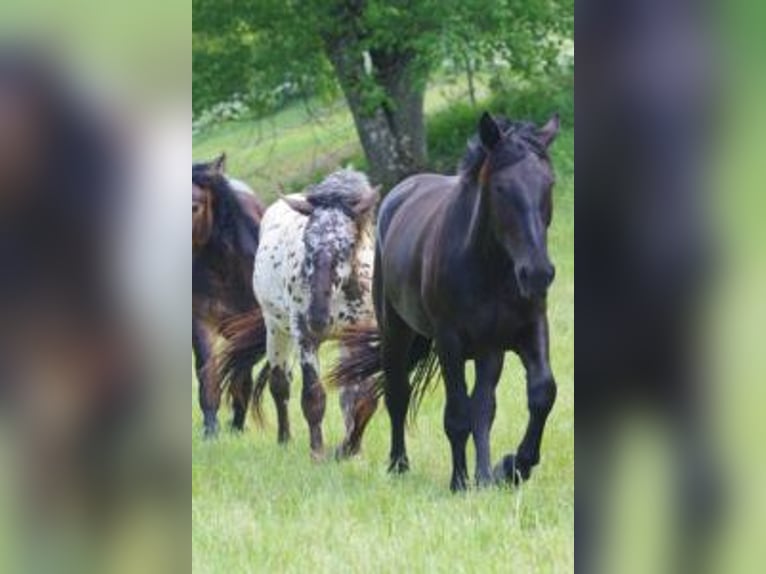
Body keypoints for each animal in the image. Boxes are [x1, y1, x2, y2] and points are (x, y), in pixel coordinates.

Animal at [218, 169, 380, 462]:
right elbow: (313, 398)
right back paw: (284, 439)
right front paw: (318, 453)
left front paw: (350, 450)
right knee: (280, 384)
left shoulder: (362, 337)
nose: (317, 318)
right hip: (277, 331)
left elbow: (363, 398)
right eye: (307, 240)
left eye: (349, 244)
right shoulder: (305, 338)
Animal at [332, 112, 560, 490]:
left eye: (549, 184)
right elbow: (456, 415)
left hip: (488, 350)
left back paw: (484, 475)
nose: (537, 273)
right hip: (396, 333)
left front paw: (512, 467)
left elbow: (540, 393)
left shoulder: (527, 330)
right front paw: (459, 481)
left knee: (484, 406)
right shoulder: (449, 342)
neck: (490, 268)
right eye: (501, 188)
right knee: (397, 394)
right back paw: (398, 464)